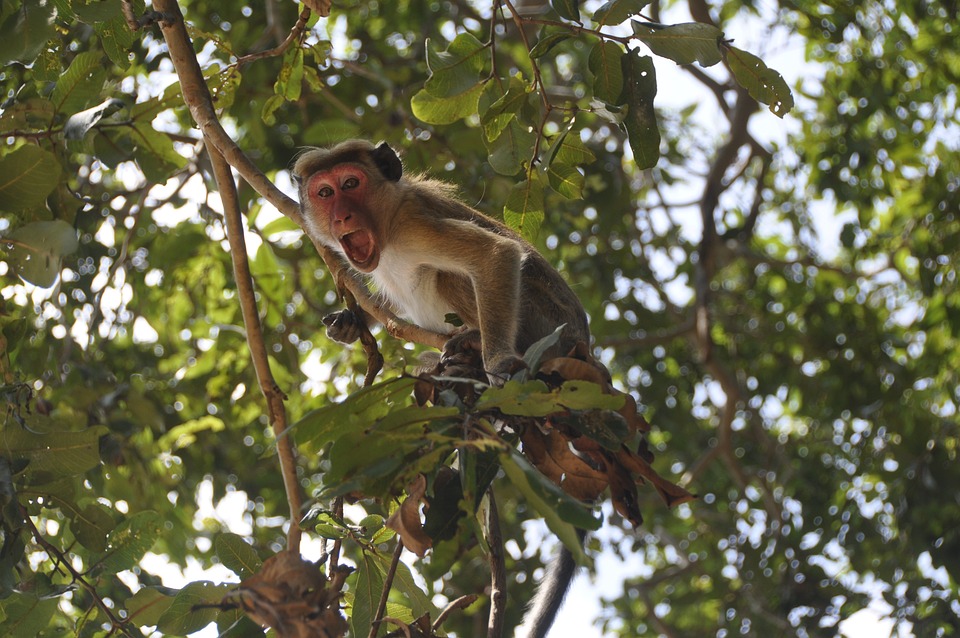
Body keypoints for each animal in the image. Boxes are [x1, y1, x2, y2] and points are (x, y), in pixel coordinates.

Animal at [292, 141, 592, 638]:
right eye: (325, 192)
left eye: (351, 183)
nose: (340, 216)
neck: (387, 224)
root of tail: (585, 349)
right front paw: (352, 320)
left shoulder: (415, 225)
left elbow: (495, 255)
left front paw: (498, 363)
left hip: (548, 328)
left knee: (451, 274)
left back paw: (474, 348)